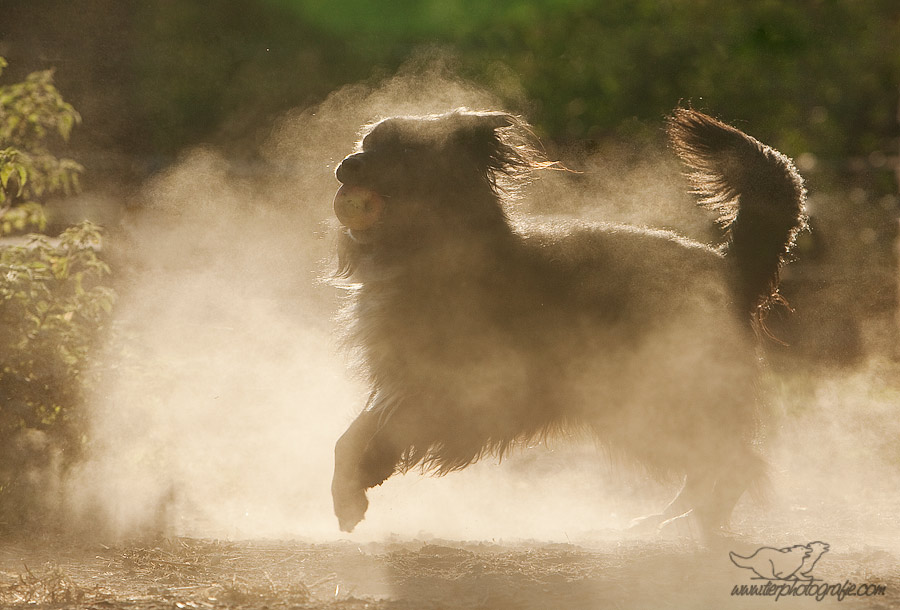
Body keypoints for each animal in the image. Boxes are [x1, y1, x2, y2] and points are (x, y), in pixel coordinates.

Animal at [326, 107, 804, 536]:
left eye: (405, 150)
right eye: (367, 143)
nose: (345, 166)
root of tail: (729, 268)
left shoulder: (457, 389)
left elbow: (385, 431)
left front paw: (363, 477)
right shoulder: (401, 384)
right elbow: (351, 435)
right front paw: (348, 490)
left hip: (653, 398)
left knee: (734, 463)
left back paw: (694, 524)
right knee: (714, 465)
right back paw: (669, 519)